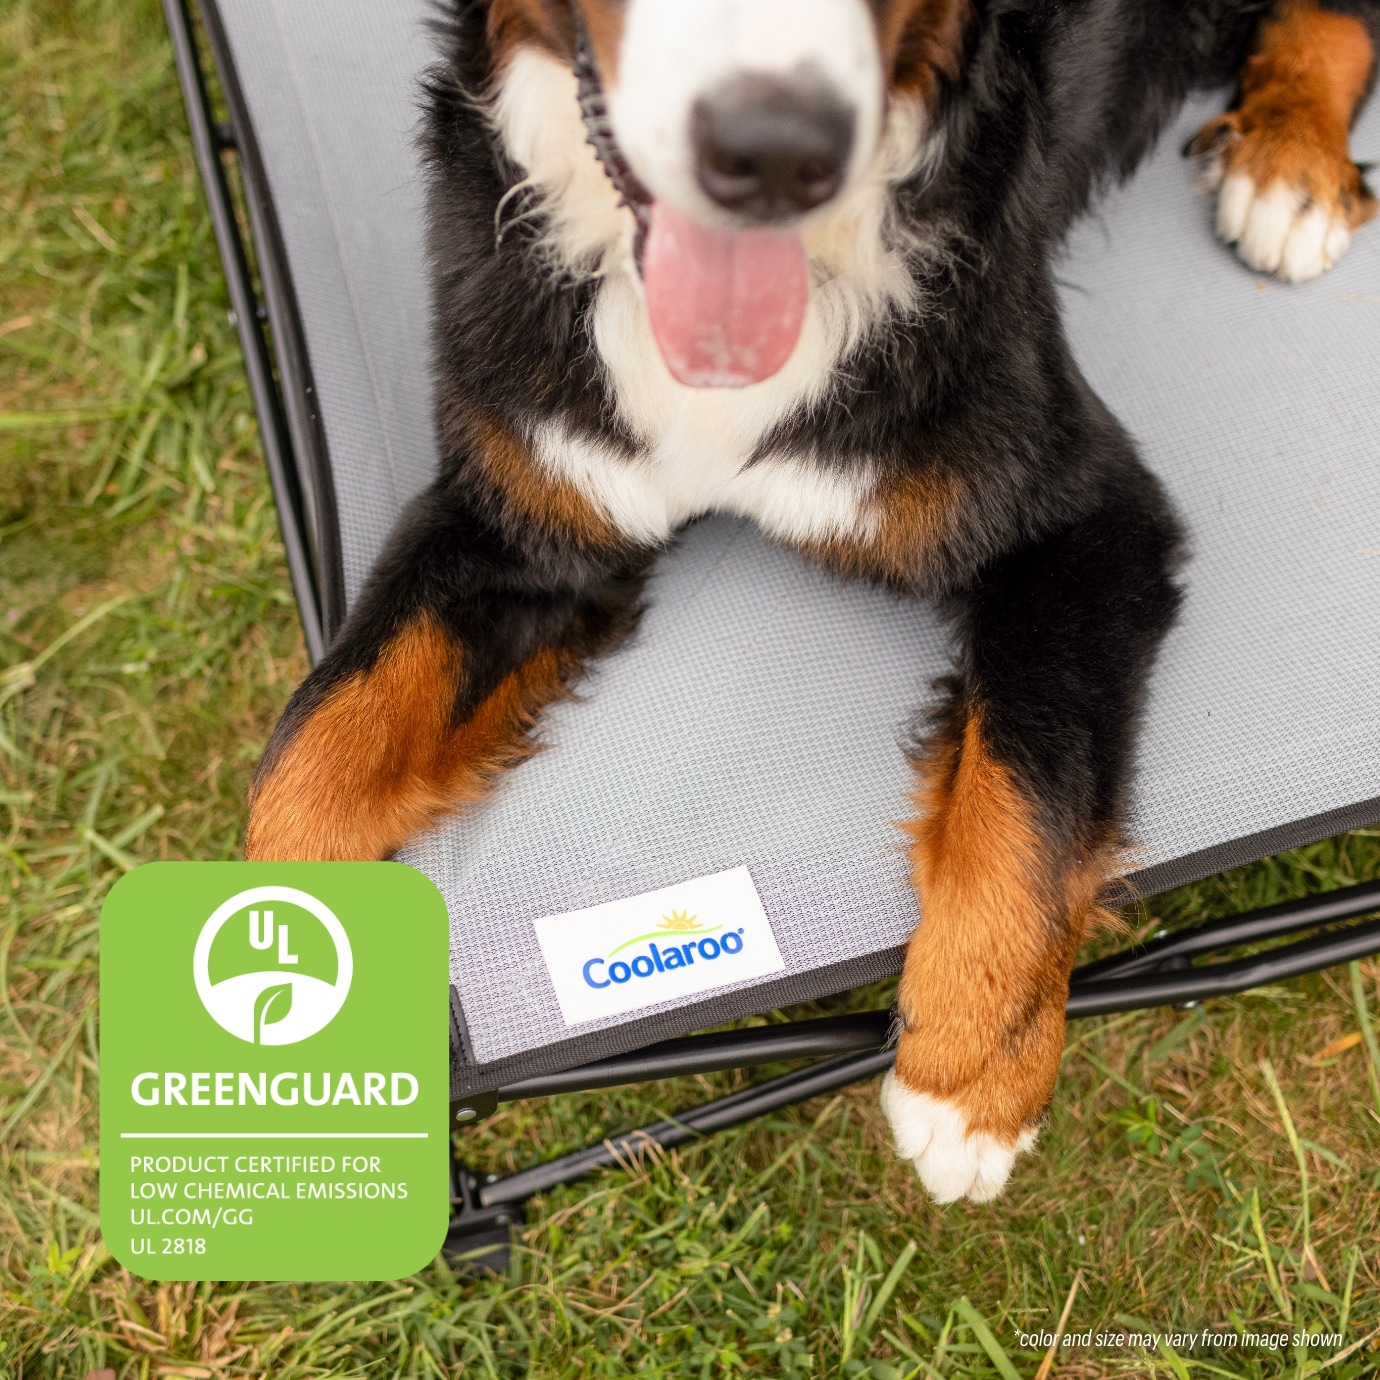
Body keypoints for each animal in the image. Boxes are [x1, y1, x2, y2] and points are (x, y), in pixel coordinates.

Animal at [246, 0, 1378, 1203]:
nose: (775, 153)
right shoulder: (517, 523)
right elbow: (307, 770)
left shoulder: (1081, 522)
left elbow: (1028, 789)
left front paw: (972, 1080)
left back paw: (1289, 169)